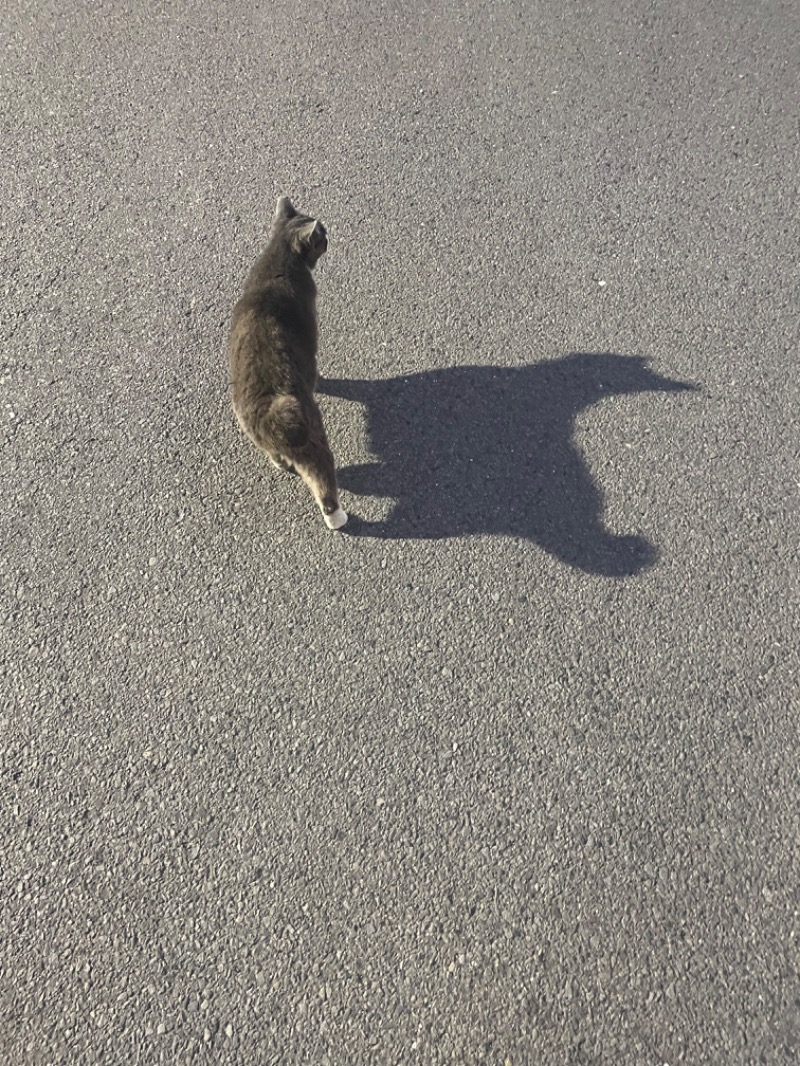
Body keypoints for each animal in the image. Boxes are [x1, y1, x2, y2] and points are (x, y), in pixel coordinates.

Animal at [228, 196, 347, 528]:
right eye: (321, 236)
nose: (330, 238)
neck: (278, 260)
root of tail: (271, 418)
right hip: (314, 435)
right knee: (322, 478)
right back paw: (337, 516)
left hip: (258, 436)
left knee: (277, 456)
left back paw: (281, 465)